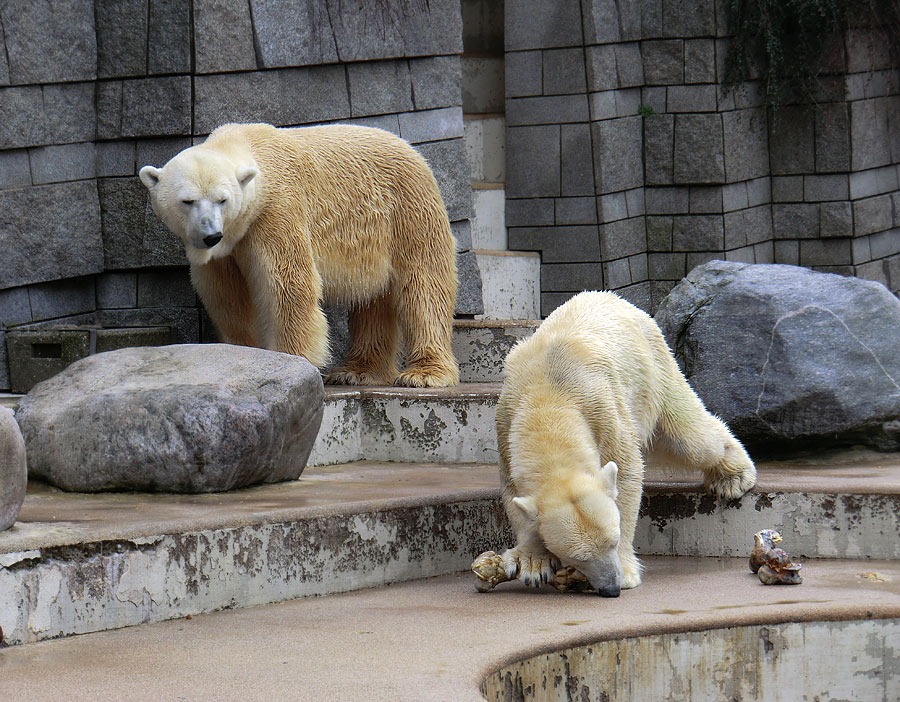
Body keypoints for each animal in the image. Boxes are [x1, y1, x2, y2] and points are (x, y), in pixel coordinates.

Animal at [496, 292, 756, 600]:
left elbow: (626, 471)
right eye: (579, 557)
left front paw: (628, 571)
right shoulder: (506, 424)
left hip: (653, 368)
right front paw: (533, 562)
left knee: (688, 436)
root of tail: (616, 298)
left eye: (613, 539)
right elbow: (514, 495)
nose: (612, 587)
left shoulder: (601, 407)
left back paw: (733, 477)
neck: (547, 399)